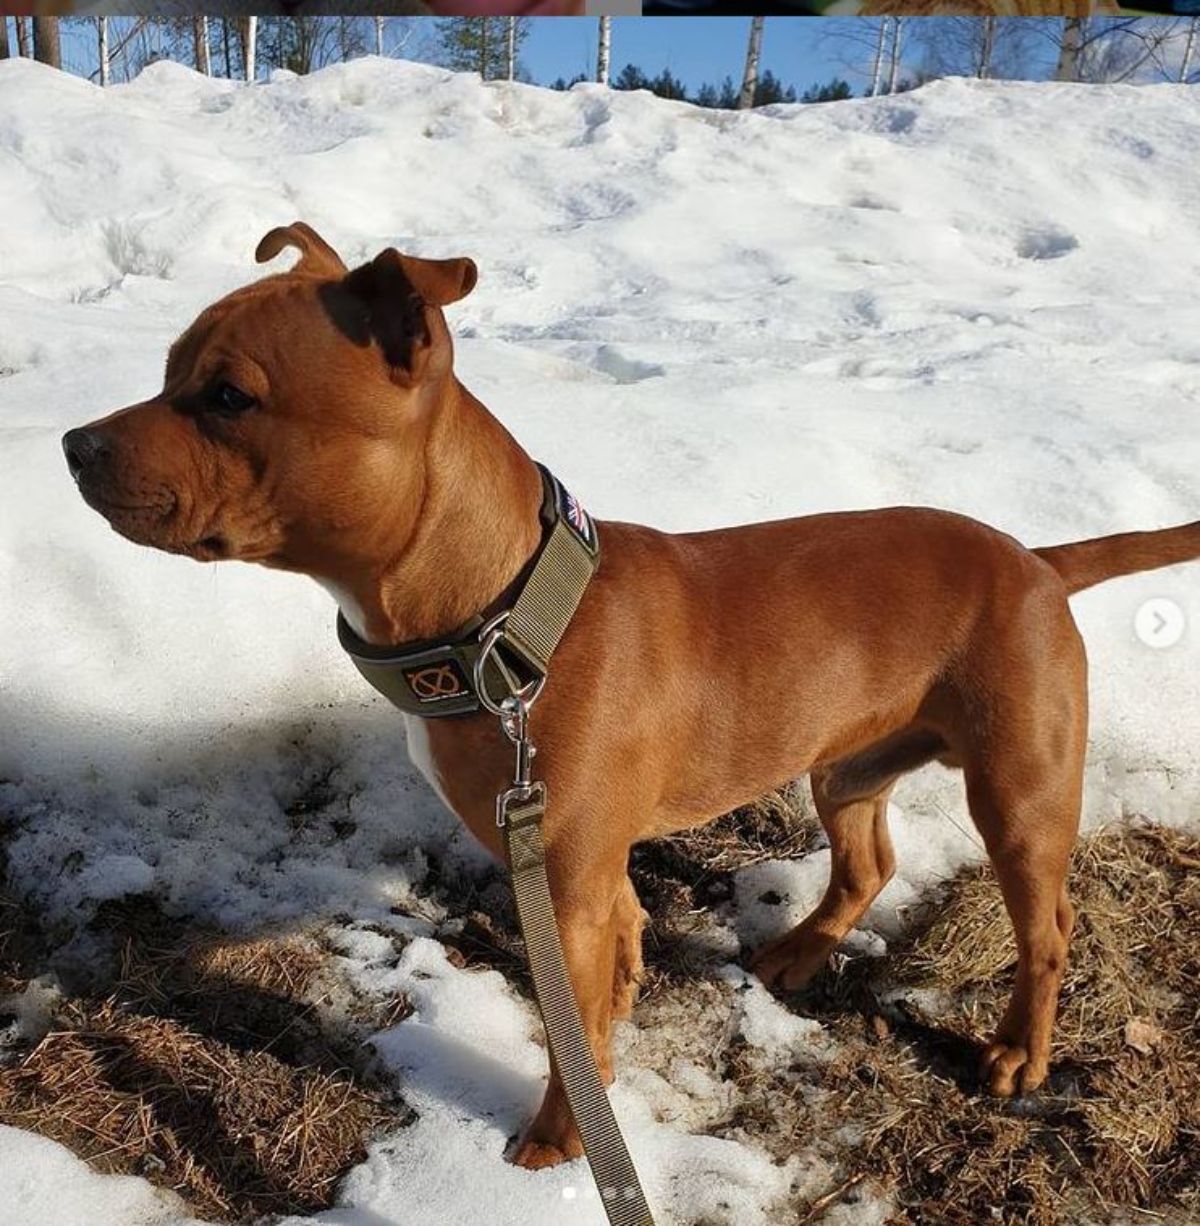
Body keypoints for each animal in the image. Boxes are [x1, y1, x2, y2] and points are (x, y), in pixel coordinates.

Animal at [63, 228, 1200, 1167]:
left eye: (227, 396)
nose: (74, 445)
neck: (507, 623)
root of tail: (1037, 561)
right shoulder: (579, 862)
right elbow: (611, 963)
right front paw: (613, 1026)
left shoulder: (563, 876)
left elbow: (574, 1023)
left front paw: (559, 1136)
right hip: (848, 764)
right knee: (868, 861)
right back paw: (798, 951)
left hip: (1021, 790)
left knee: (1046, 927)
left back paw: (1018, 1051)